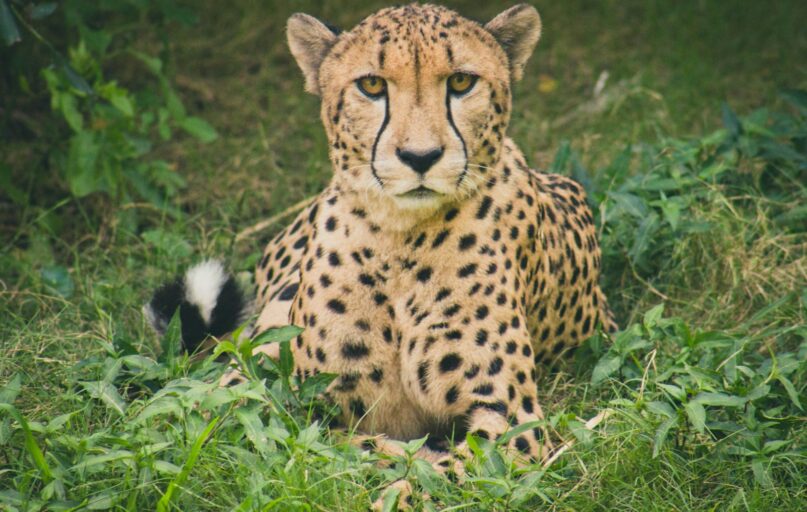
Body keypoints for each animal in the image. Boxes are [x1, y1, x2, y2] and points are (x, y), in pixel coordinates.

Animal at [146, 1, 617, 489]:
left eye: (461, 82)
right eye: (371, 85)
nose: (420, 157)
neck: (400, 239)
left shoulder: (512, 422)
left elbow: (436, 472)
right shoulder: (295, 397)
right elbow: (311, 437)